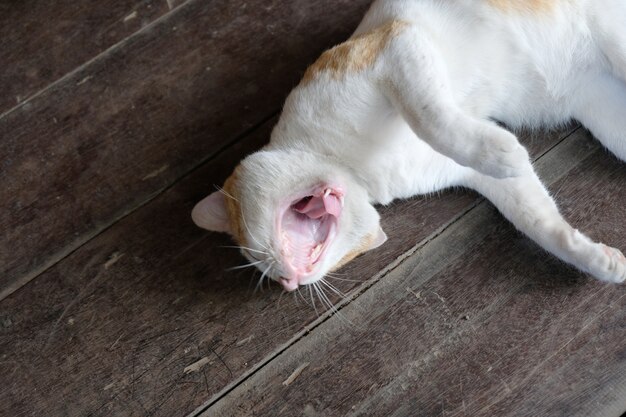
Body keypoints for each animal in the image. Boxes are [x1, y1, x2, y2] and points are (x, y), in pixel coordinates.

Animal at [190, 0, 624, 290]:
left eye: (256, 254)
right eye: (266, 271)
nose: (287, 282)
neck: (357, 168)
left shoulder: (396, 45)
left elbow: (429, 116)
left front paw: (504, 152)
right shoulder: (473, 176)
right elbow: (538, 220)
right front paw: (597, 260)